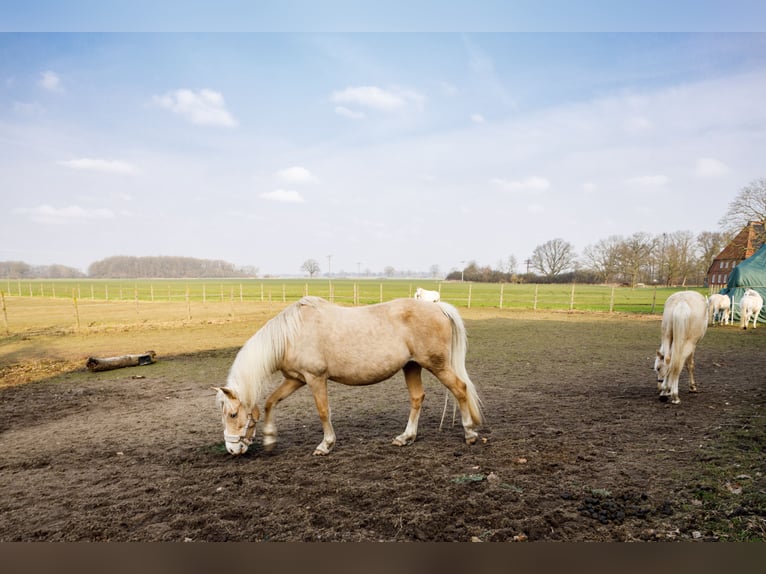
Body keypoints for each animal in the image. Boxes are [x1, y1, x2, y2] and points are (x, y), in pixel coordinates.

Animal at [213, 296, 482, 456]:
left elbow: (323, 411)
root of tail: (437, 306)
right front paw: (269, 439)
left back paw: (469, 433)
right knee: (417, 398)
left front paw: (326, 445)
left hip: (437, 365)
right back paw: (406, 437)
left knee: (460, 389)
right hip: (412, 366)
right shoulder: (295, 379)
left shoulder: (315, 378)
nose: (232, 449)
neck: (292, 333)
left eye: (233, 414)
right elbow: (270, 402)